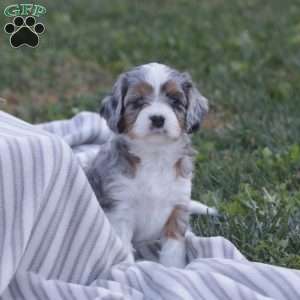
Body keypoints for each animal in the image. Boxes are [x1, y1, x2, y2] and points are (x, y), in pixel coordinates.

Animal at [86, 62, 216, 268]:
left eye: (175, 101)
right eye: (138, 102)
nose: (157, 118)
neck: (155, 155)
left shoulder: (177, 208)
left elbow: (173, 248)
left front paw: (173, 270)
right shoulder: (120, 209)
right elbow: (123, 246)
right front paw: (129, 270)